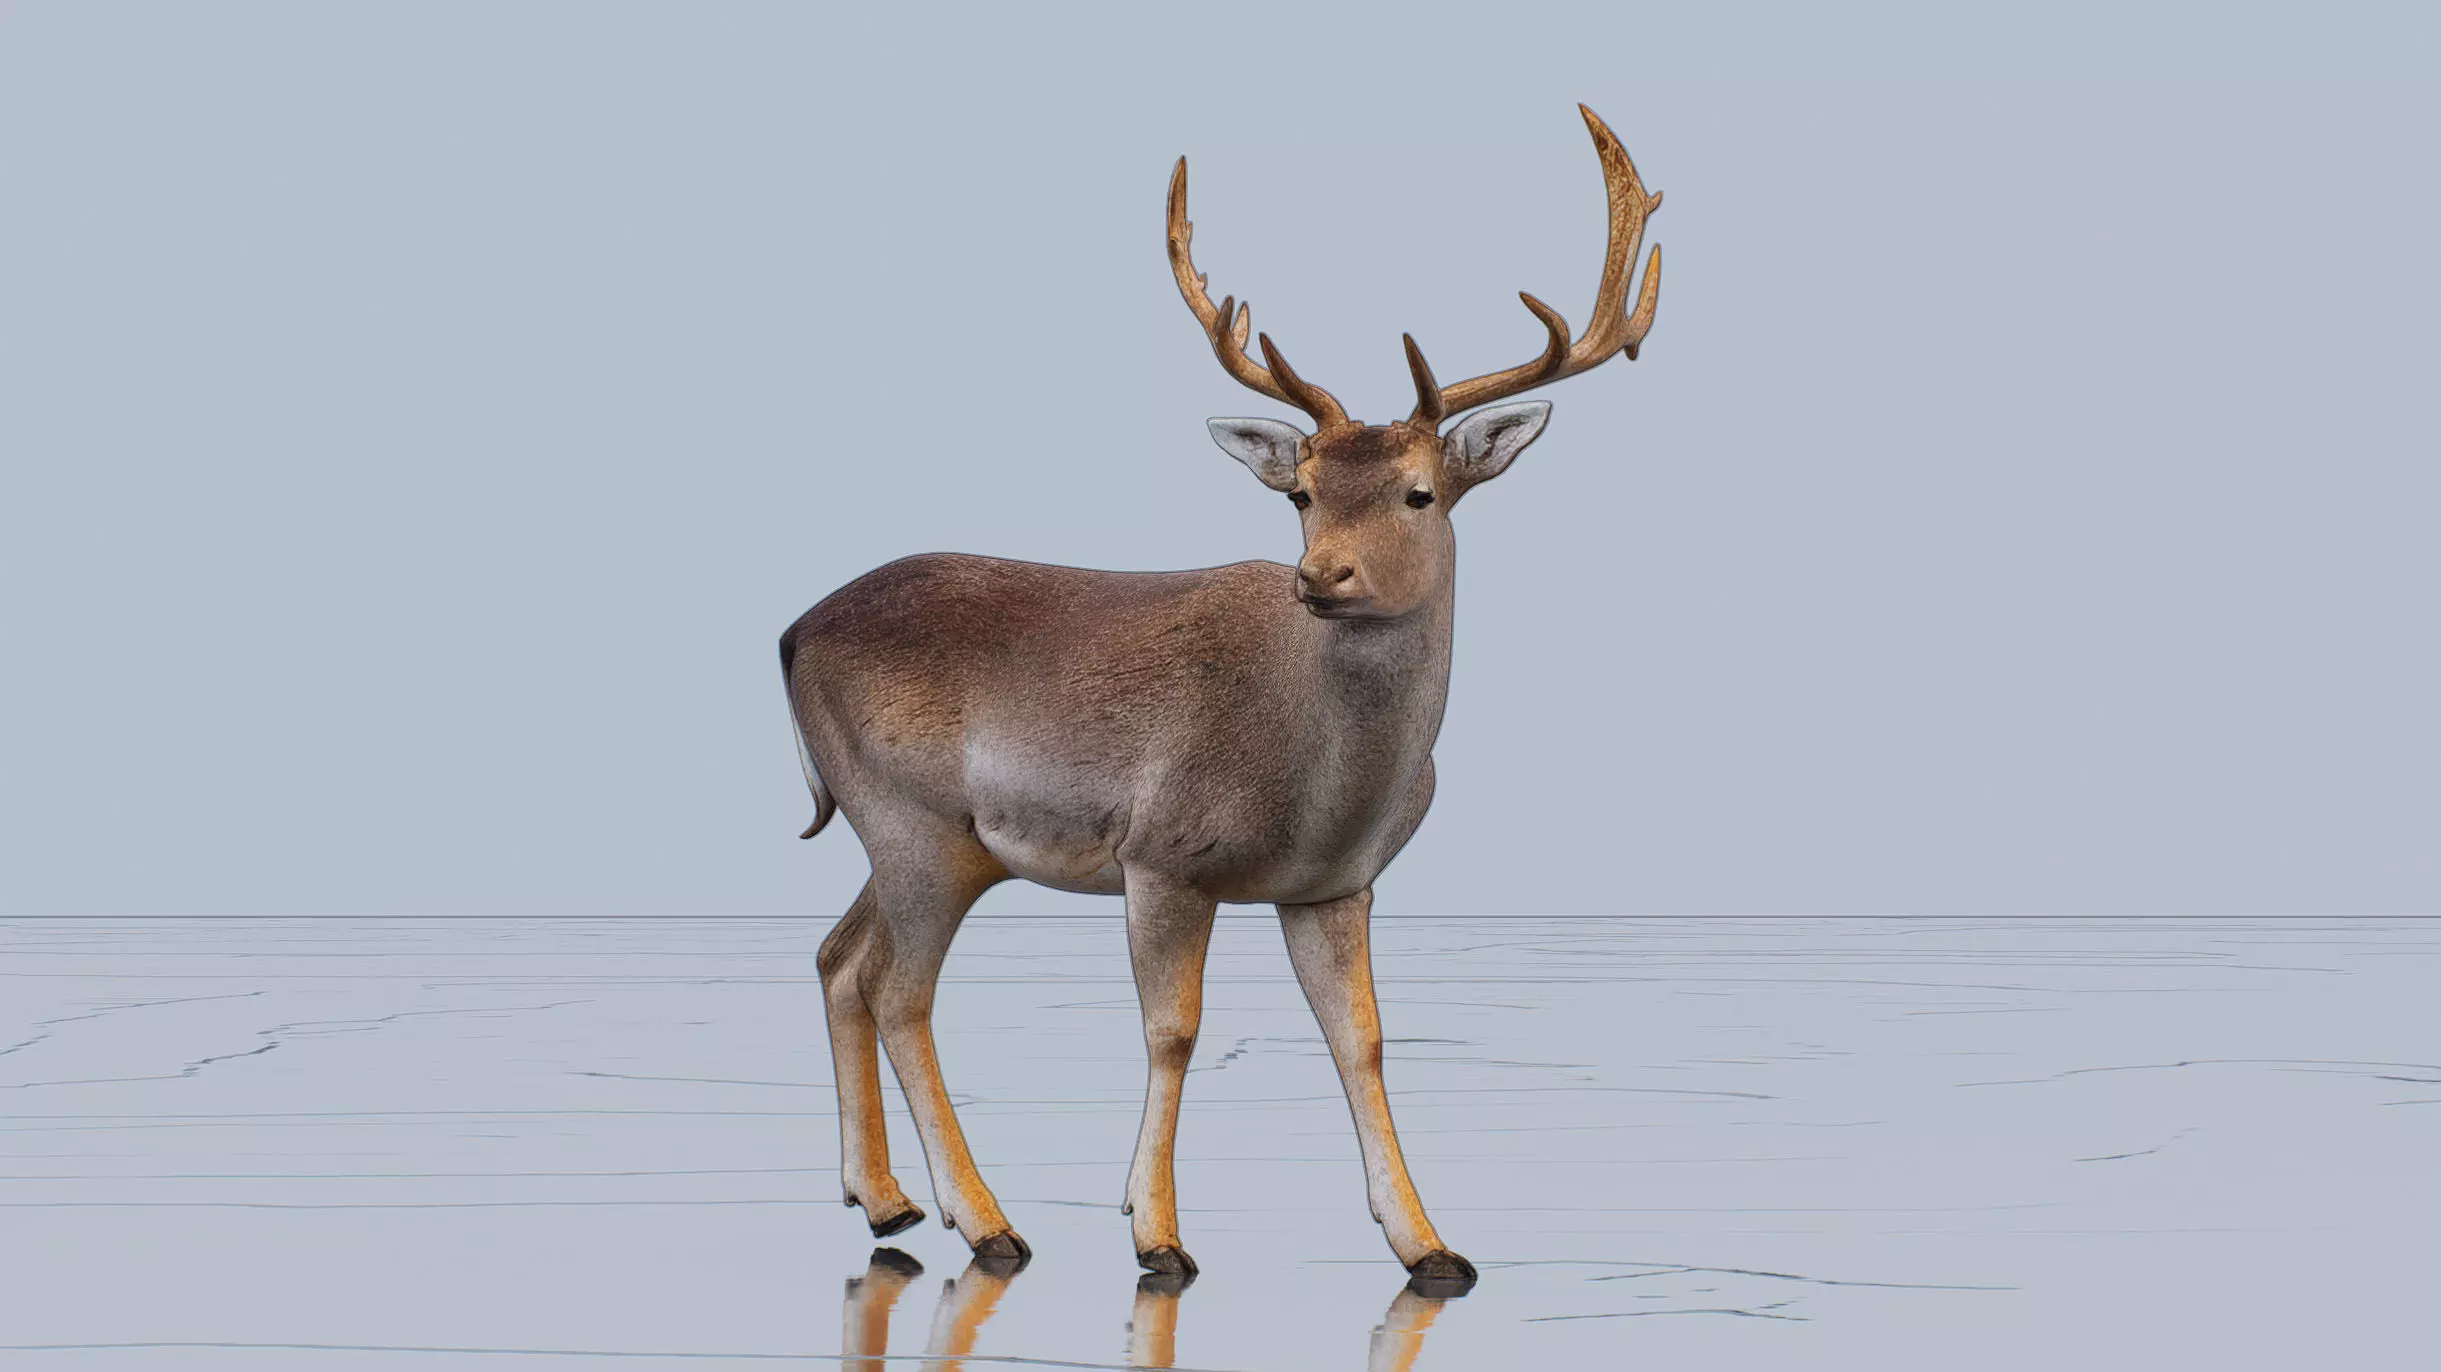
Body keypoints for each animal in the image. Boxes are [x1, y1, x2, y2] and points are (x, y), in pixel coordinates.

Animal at [780, 104, 1661, 1284]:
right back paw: (987, 1220)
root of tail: (789, 634)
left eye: (1419, 492)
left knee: (840, 958)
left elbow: (1362, 1038)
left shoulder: (1334, 883)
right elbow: (1174, 1031)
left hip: (919, 836)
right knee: (899, 990)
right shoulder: (1161, 851)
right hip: (911, 820)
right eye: (1299, 493)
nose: (1320, 575)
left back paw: (884, 1201)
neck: (1321, 787)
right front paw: (1156, 1234)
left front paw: (1429, 1244)